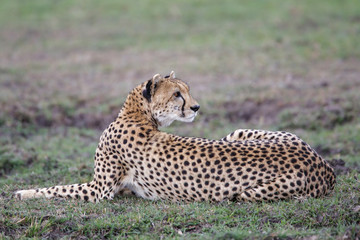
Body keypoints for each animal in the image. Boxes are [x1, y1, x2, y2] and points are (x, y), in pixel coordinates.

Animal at [15, 71, 336, 202]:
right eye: (177, 94)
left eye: (188, 91)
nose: (196, 107)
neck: (137, 114)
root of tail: (324, 166)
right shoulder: (107, 187)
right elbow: (60, 187)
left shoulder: (98, 190)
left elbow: (56, 188)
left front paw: (22, 193)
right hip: (237, 134)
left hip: (243, 191)